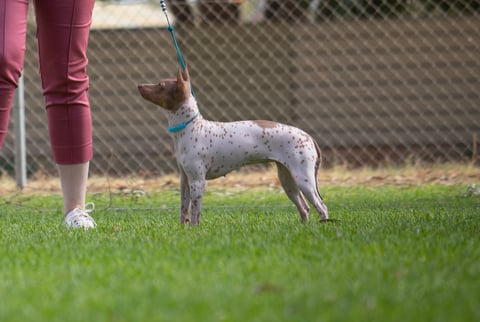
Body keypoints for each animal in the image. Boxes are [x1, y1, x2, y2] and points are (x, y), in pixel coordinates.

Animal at [137, 66, 328, 225]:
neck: (192, 127)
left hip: (303, 179)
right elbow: (184, 211)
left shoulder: (198, 182)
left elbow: (195, 214)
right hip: (288, 181)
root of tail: (308, 136)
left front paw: (194, 231)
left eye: (160, 84)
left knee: (321, 206)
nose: (139, 85)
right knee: (305, 208)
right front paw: (183, 231)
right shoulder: (185, 181)